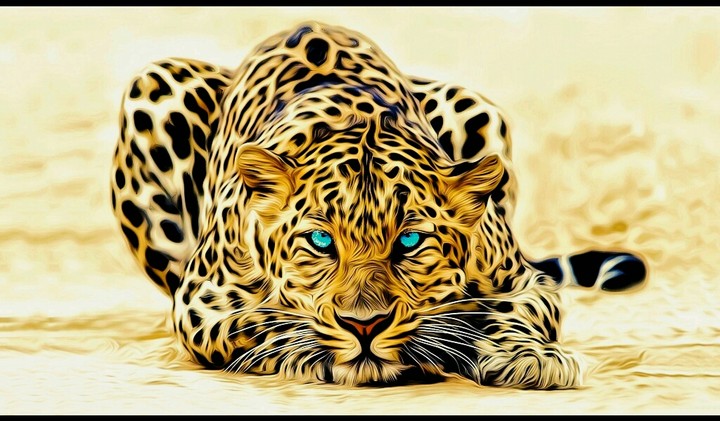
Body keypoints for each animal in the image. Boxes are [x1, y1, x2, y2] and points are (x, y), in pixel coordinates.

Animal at [110, 21, 647, 389]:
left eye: (409, 241)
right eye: (320, 241)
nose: (364, 325)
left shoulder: (523, 281)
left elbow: (503, 312)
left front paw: (528, 356)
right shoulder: (202, 299)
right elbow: (262, 322)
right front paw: (312, 352)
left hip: (473, 104)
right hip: (154, 85)